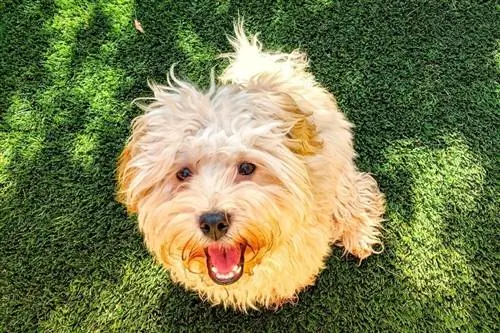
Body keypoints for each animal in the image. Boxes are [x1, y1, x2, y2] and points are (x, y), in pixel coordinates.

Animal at [118, 22, 386, 308]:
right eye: (183, 173)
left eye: (247, 168)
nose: (213, 222)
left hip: (338, 158)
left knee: (355, 190)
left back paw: (360, 234)